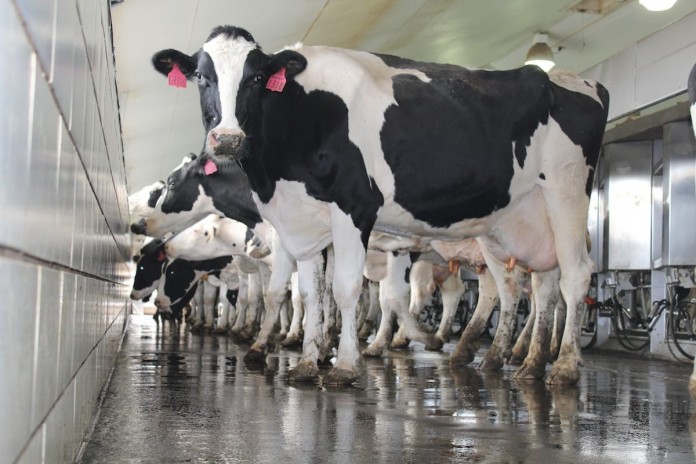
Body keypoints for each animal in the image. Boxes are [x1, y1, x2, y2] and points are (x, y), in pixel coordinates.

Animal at [152, 26, 609, 385]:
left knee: (574, 277)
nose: (228, 139)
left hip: (566, 194)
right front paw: (308, 361)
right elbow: (309, 294)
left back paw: (562, 366)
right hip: (515, 222)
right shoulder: (304, 225)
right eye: (200, 76)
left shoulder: (355, 207)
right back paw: (520, 361)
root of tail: (575, 80)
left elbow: (346, 290)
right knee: (536, 285)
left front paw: (344, 364)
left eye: (258, 77)